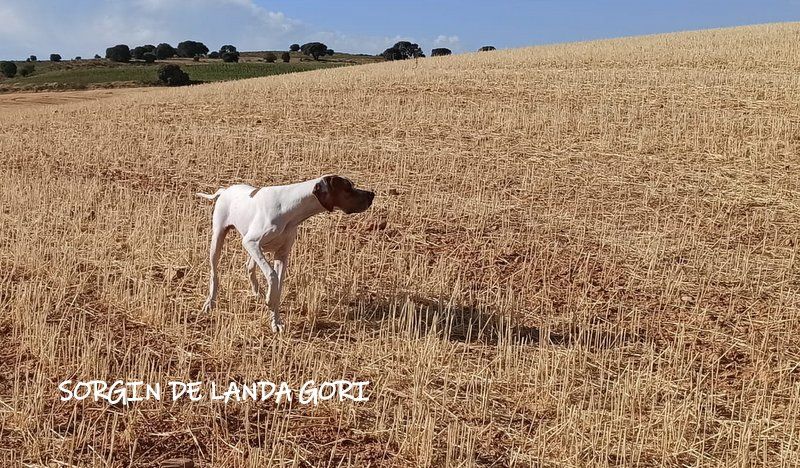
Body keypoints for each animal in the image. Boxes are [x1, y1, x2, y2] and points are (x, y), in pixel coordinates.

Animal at [198, 176, 376, 332]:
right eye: (347, 188)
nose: (372, 194)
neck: (289, 208)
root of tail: (225, 190)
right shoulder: (251, 242)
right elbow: (272, 276)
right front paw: (270, 299)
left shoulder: (281, 255)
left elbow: (278, 286)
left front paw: (275, 321)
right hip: (219, 240)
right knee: (214, 274)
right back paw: (210, 303)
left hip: (255, 249)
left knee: (248, 266)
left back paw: (257, 292)